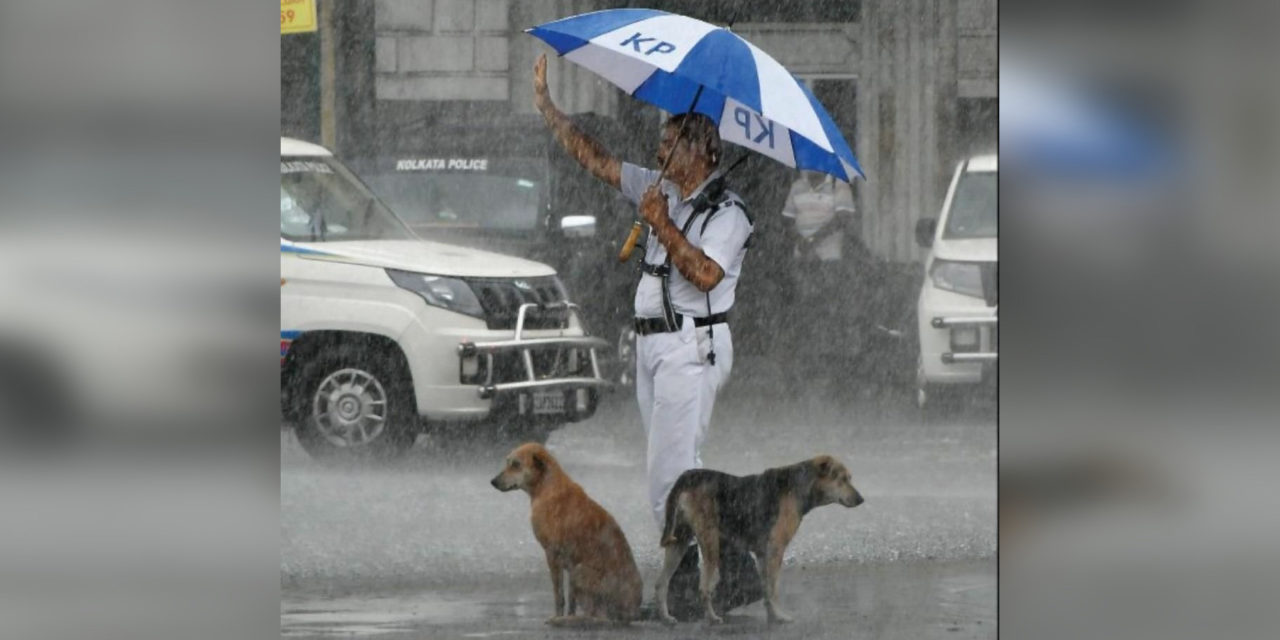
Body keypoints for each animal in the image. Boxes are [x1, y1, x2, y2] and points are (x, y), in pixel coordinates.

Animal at [491, 442, 645, 627]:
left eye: (516, 464)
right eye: (508, 462)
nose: (493, 482)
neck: (547, 486)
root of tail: (630, 613)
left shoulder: (552, 554)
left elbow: (559, 595)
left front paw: (558, 615)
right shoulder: (570, 563)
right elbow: (571, 600)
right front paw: (568, 613)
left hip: (580, 572)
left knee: (598, 617)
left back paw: (567, 620)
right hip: (576, 572)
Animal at [650, 455, 870, 624]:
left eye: (850, 478)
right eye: (841, 479)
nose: (861, 500)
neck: (799, 486)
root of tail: (689, 475)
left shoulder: (764, 554)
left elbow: (766, 589)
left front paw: (772, 616)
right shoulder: (776, 550)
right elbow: (773, 589)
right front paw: (781, 617)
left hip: (679, 541)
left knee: (661, 583)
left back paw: (665, 618)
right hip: (710, 541)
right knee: (704, 588)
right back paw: (712, 618)